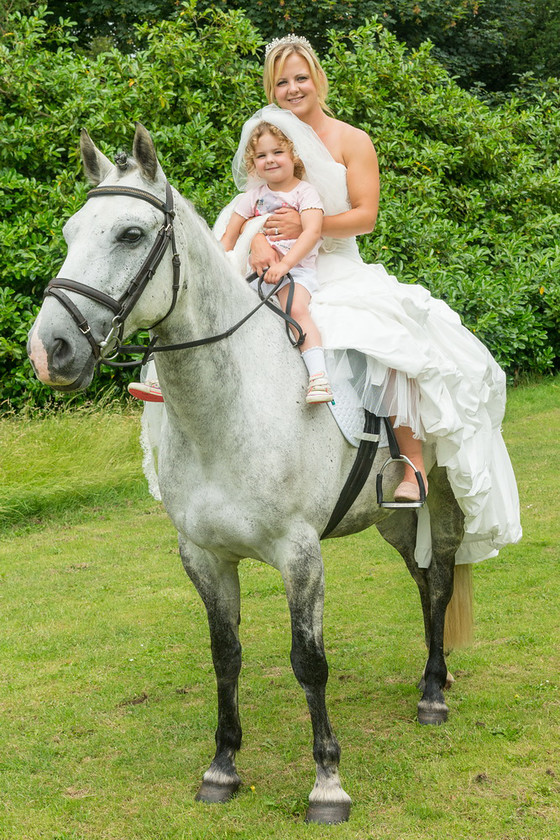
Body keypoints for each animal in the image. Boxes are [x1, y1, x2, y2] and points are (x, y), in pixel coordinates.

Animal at [28, 126, 470, 828]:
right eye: (71, 233)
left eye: (130, 234)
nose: (50, 352)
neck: (228, 407)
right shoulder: (204, 556)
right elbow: (225, 656)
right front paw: (222, 768)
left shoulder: (299, 555)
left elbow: (309, 663)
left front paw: (328, 784)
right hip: (395, 521)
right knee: (423, 577)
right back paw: (435, 678)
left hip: (443, 502)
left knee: (441, 582)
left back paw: (433, 694)